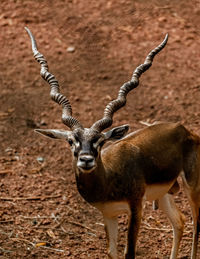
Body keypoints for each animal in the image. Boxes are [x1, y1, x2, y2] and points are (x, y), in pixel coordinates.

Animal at [25, 26, 200, 259]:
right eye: (71, 141)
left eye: (100, 141)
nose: (86, 160)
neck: (108, 179)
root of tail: (183, 129)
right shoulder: (108, 214)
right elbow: (111, 251)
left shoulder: (136, 207)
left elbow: (129, 252)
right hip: (163, 193)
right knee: (179, 221)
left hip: (192, 185)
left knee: (196, 223)